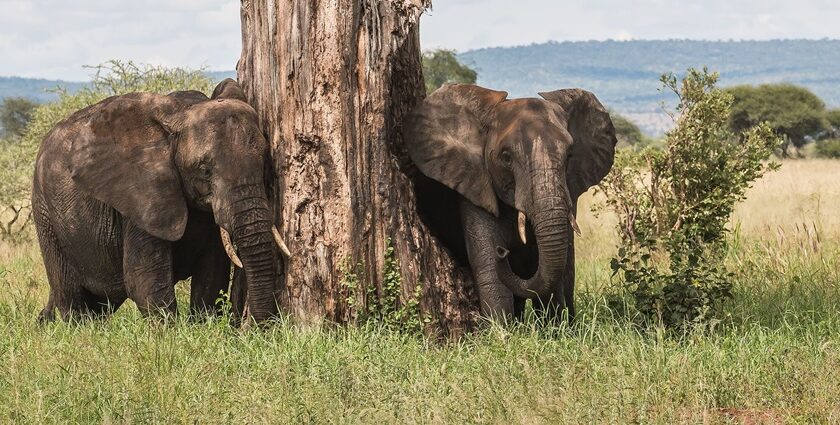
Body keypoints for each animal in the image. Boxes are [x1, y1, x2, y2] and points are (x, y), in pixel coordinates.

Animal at [32, 78, 290, 322]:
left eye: (265, 162)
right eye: (204, 169)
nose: (262, 327)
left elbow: (212, 275)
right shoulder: (141, 196)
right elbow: (143, 278)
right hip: (46, 215)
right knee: (71, 296)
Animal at [406, 83, 616, 322]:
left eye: (570, 155)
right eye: (506, 158)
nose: (503, 251)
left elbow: (552, 271)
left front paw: (554, 327)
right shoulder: (476, 184)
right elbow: (491, 272)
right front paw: (501, 330)